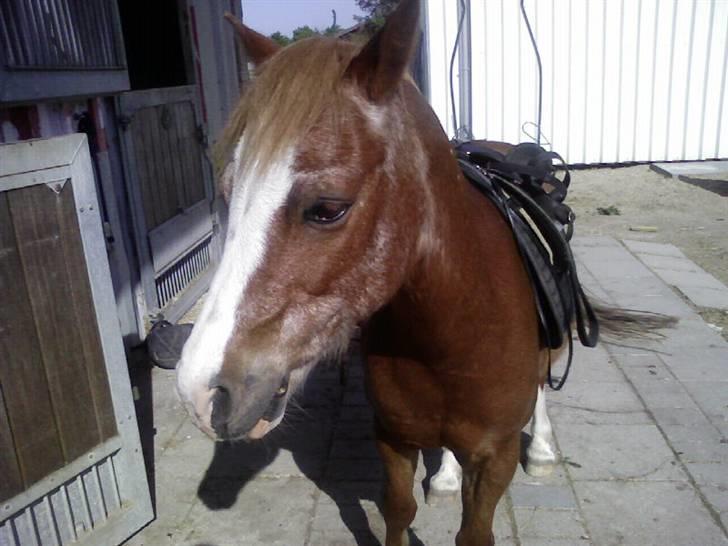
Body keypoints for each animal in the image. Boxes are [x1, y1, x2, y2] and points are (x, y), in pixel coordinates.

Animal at [179, 2, 564, 540]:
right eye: (228, 195)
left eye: (327, 209)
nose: (202, 392)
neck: (455, 328)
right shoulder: (393, 437)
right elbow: (398, 511)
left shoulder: (495, 457)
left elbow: (474, 532)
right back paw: (445, 477)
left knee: (547, 376)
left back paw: (544, 449)